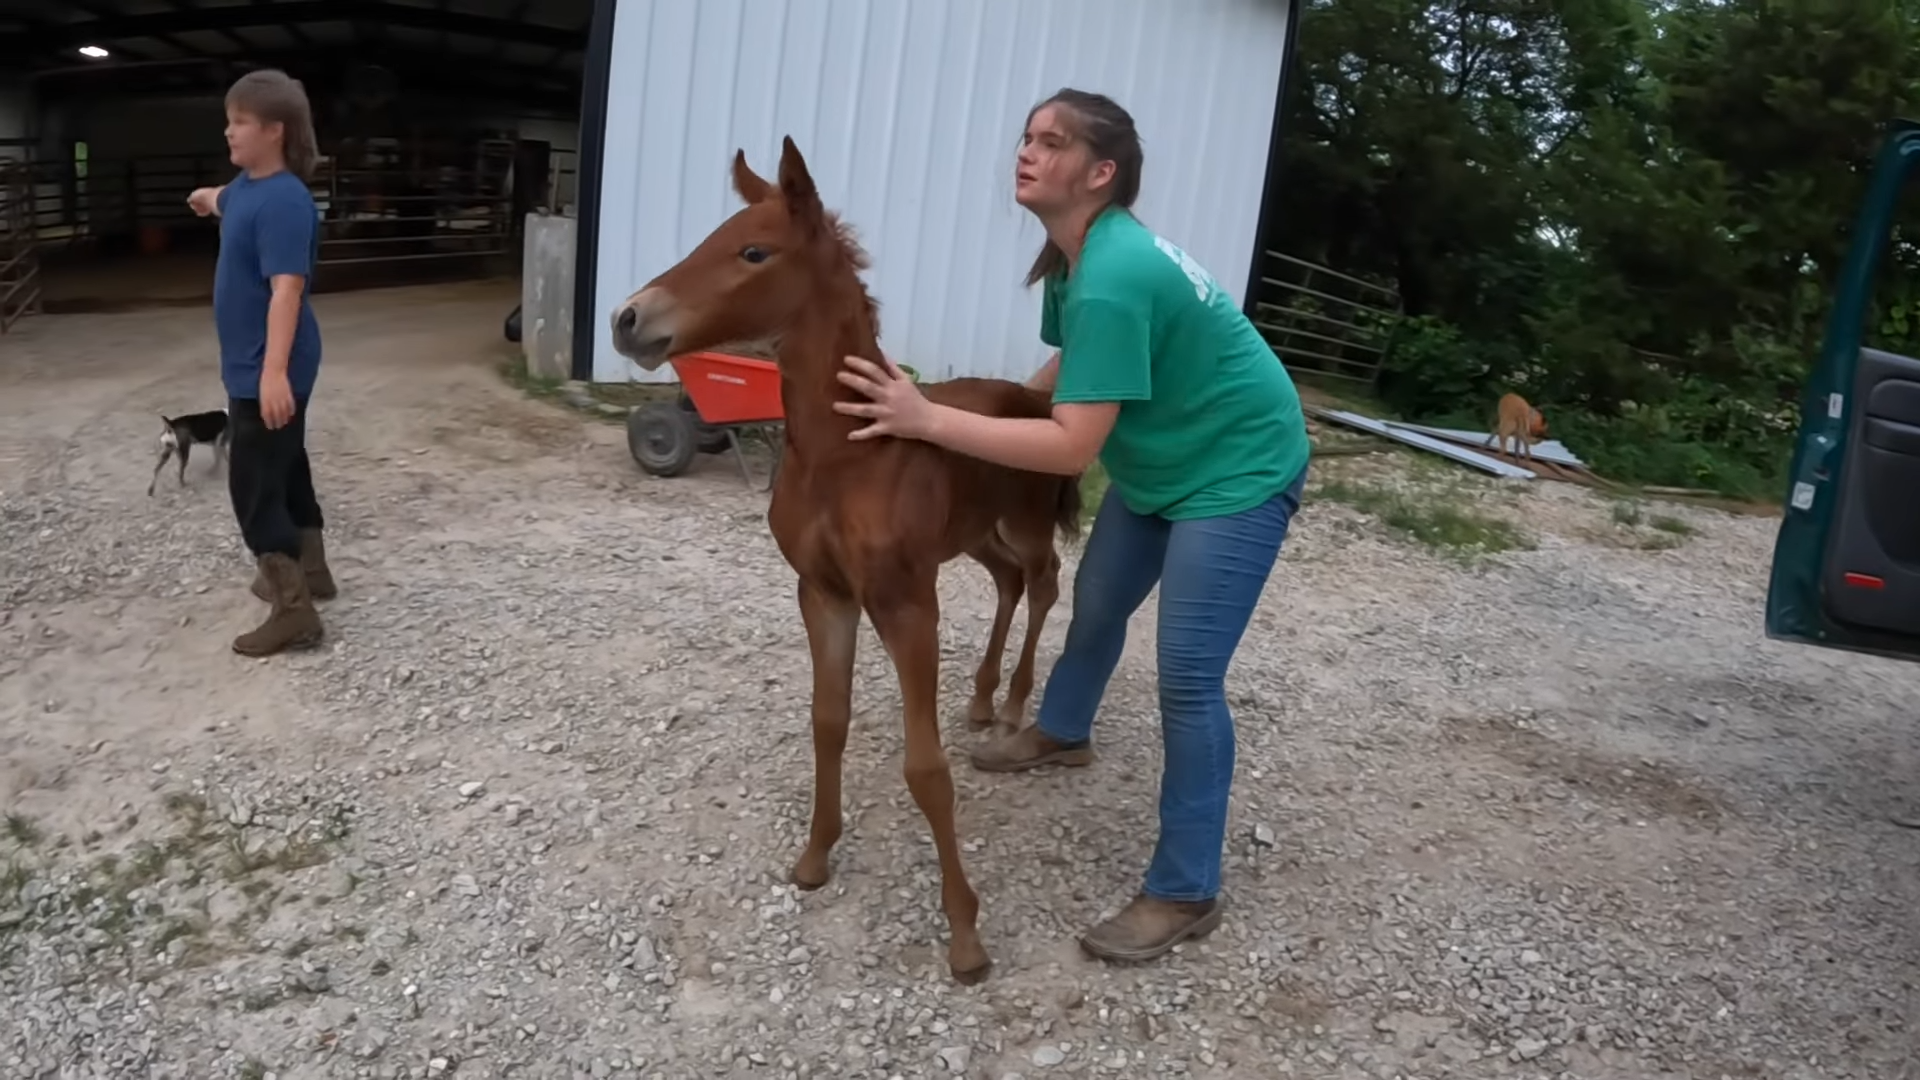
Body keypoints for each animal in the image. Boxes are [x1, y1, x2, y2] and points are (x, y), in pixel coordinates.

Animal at [618, 138, 1098, 980]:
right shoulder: (824, 593)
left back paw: (1011, 704)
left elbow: (926, 768)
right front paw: (815, 857)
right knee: (1008, 582)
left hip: (1025, 520)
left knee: (1042, 583)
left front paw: (965, 934)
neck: (845, 454)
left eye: (753, 251)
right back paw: (982, 699)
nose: (628, 318)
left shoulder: (906, 602)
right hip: (974, 534)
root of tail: (1037, 400)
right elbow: (827, 722)